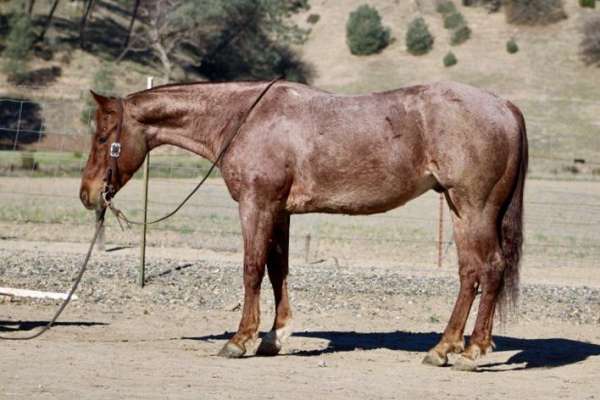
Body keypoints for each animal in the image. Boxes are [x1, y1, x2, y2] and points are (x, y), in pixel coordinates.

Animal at [79, 79, 524, 372]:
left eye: (102, 138)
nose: (87, 194)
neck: (245, 118)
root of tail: (505, 105)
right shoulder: (280, 211)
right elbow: (278, 270)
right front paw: (274, 337)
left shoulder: (257, 205)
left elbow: (252, 269)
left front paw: (240, 340)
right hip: (459, 209)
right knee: (470, 273)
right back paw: (445, 348)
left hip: (474, 206)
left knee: (489, 269)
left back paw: (472, 351)